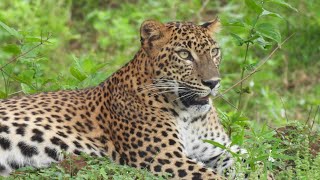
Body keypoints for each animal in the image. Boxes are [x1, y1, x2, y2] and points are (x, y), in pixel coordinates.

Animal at [0, 17, 248, 179]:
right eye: (184, 54)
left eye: (214, 51)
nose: (213, 82)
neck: (189, 116)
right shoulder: (164, 158)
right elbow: (212, 176)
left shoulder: (219, 148)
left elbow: (249, 159)